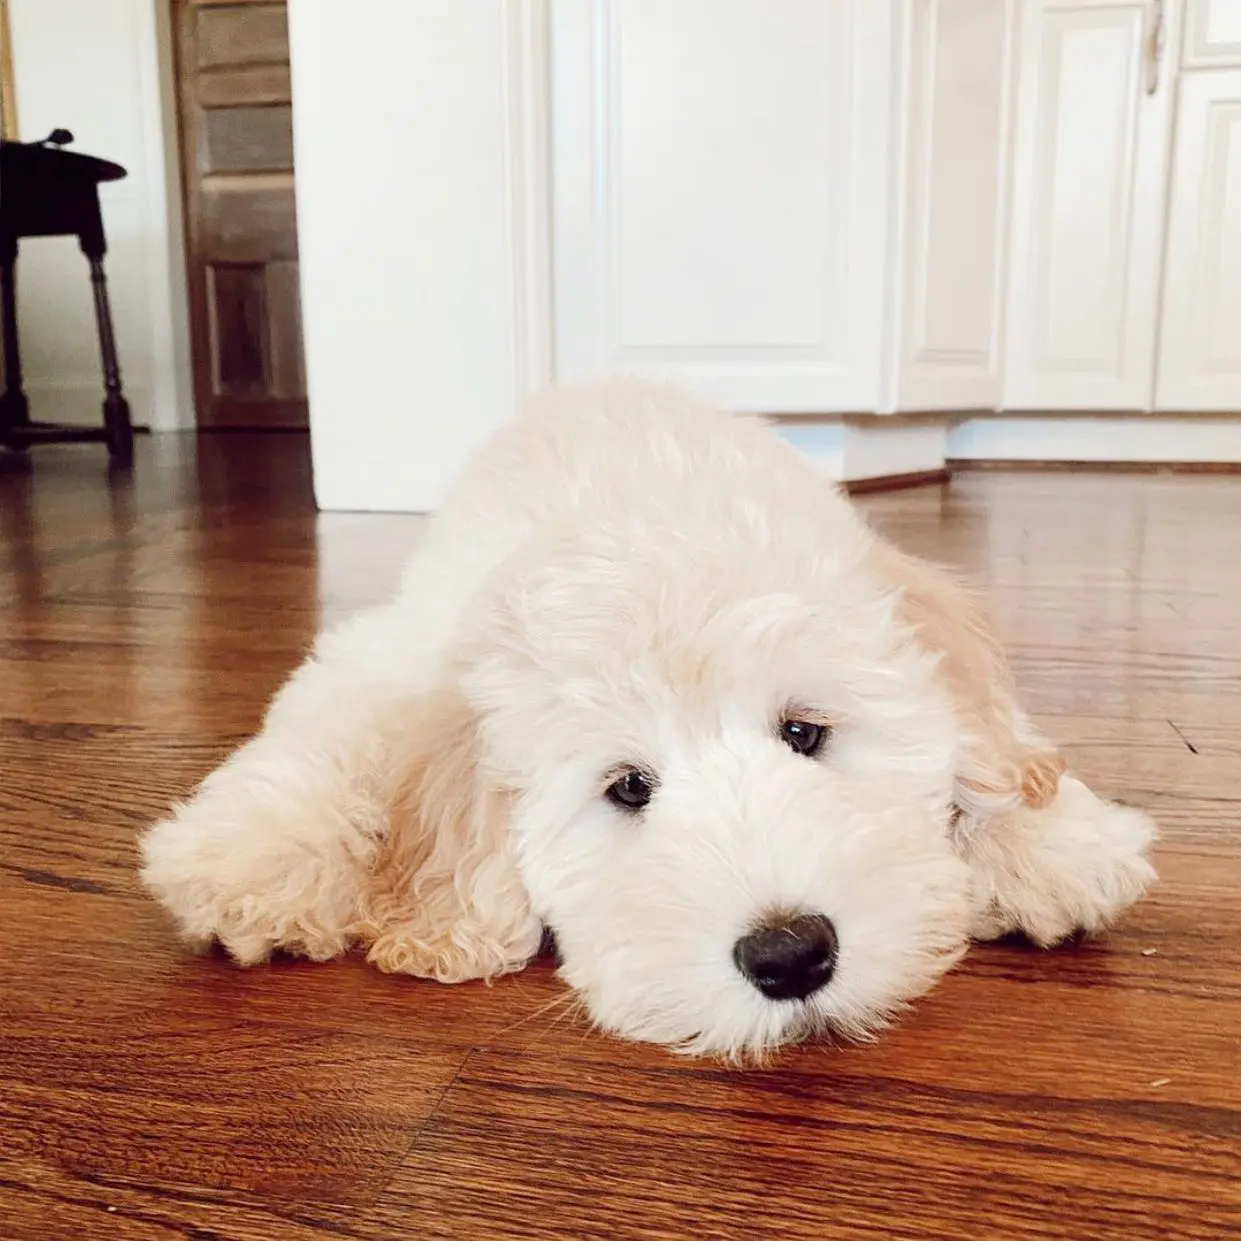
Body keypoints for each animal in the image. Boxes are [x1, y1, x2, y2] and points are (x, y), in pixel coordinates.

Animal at [140, 382, 1156, 1062]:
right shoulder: (401, 647)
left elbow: (995, 734)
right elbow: (327, 722)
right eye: (629, 787)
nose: (790, 954)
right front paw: (246, 860)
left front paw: (1048, 839)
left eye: (803, 733)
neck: (640, 510)